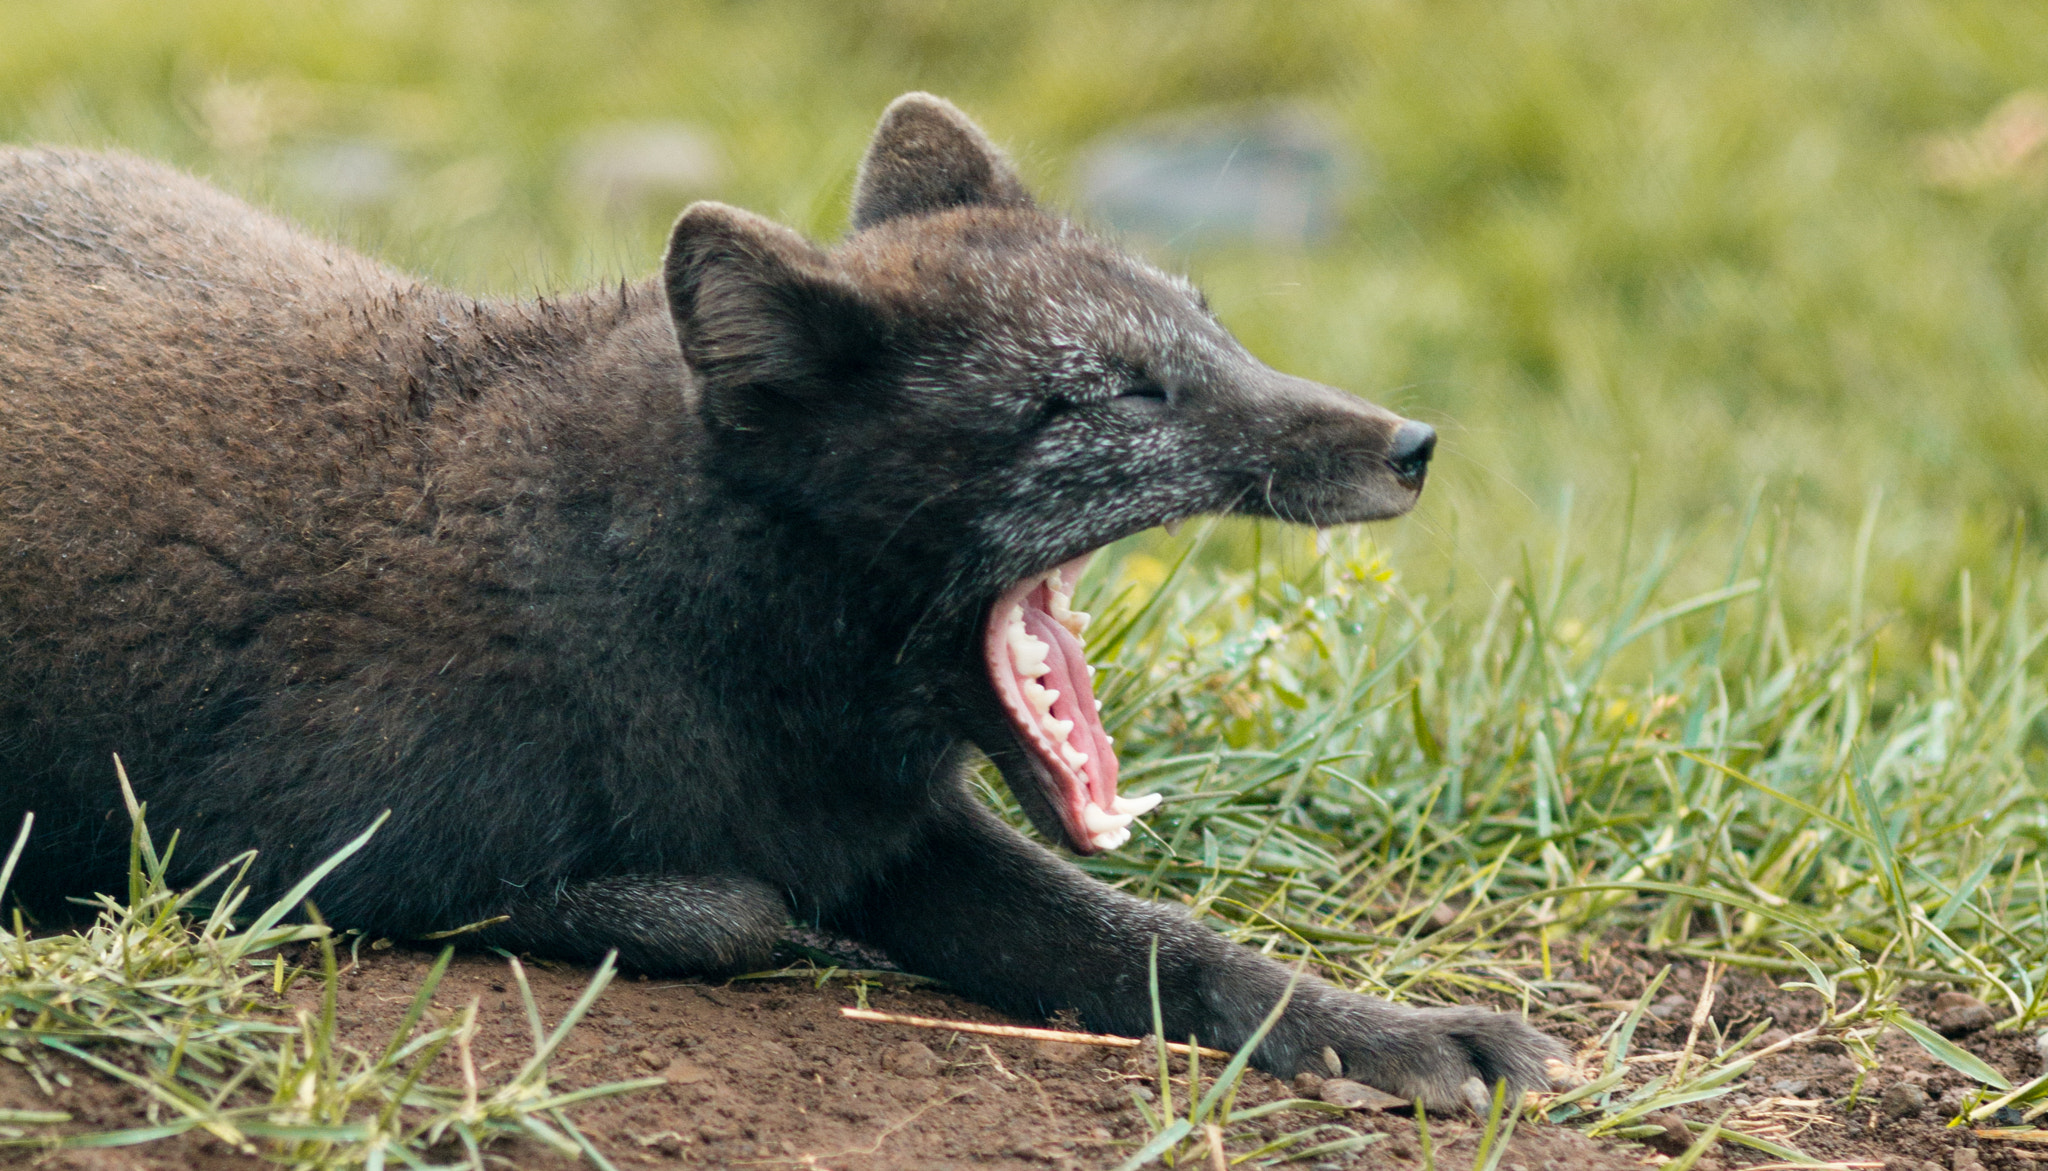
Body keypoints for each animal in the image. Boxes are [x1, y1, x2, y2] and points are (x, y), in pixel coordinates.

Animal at [0, 93, 1558, 1109]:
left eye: (1211, 328)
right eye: (1107, 398)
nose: (1410, 444)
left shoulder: (897, 833)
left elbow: (1167, 946)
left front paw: (1405, 1035)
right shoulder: (267, 859)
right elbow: (724, 912)